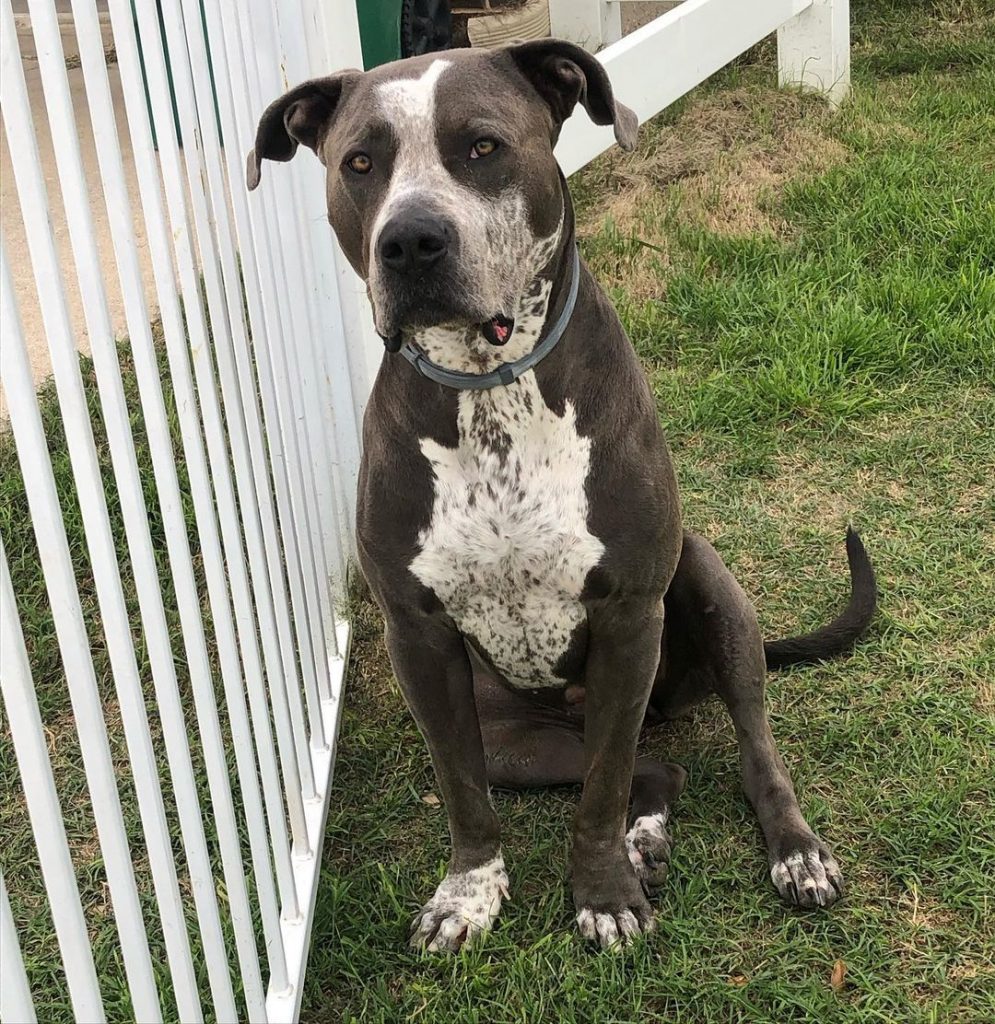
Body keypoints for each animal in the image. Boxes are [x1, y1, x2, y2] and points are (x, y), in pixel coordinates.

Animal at [250, 39, 880, 950]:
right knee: (657, 765)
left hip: (708, 590)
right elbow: (465, 795)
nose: (409, 240)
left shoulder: (625, 617)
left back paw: (789, 851)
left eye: (482, 146)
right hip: (520, 741)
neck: (490, 386)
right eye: (358, 163)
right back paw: (646, 836)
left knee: (740, 750)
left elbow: (601, 791)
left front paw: (604, 893)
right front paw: (469, 892)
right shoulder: (418, 641)